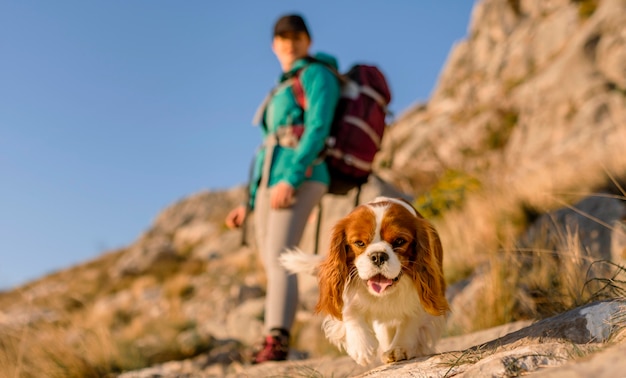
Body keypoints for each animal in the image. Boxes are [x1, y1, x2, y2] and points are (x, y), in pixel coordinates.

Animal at [280, 196, 448, 364]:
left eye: (399, 241)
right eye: (359, 243)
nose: (378, 256)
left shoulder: (428, 294)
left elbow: (411, 321)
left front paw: (399, 348)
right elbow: (349, 312)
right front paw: (361, 346)